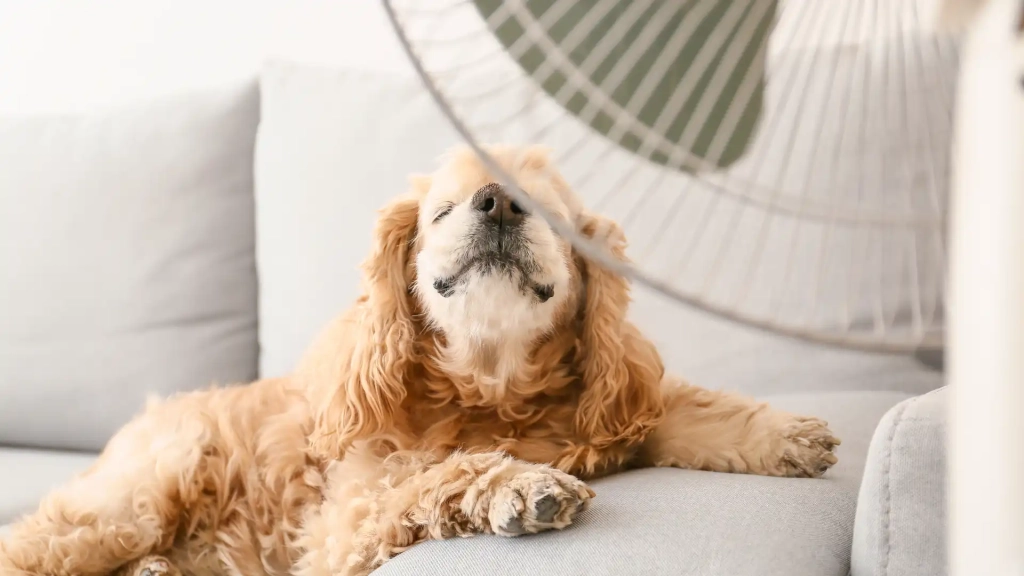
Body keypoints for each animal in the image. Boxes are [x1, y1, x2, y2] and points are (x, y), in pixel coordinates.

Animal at [0, 144, 839, 573]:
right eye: (442, 211)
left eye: (553, 215)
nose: (497, 202)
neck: (492, 385)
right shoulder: (347, 518)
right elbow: (440, 473)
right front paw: (522, 486)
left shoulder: (611, 409)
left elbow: (690, 409)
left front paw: (787, 436)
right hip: (140, 494)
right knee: (37, 547)